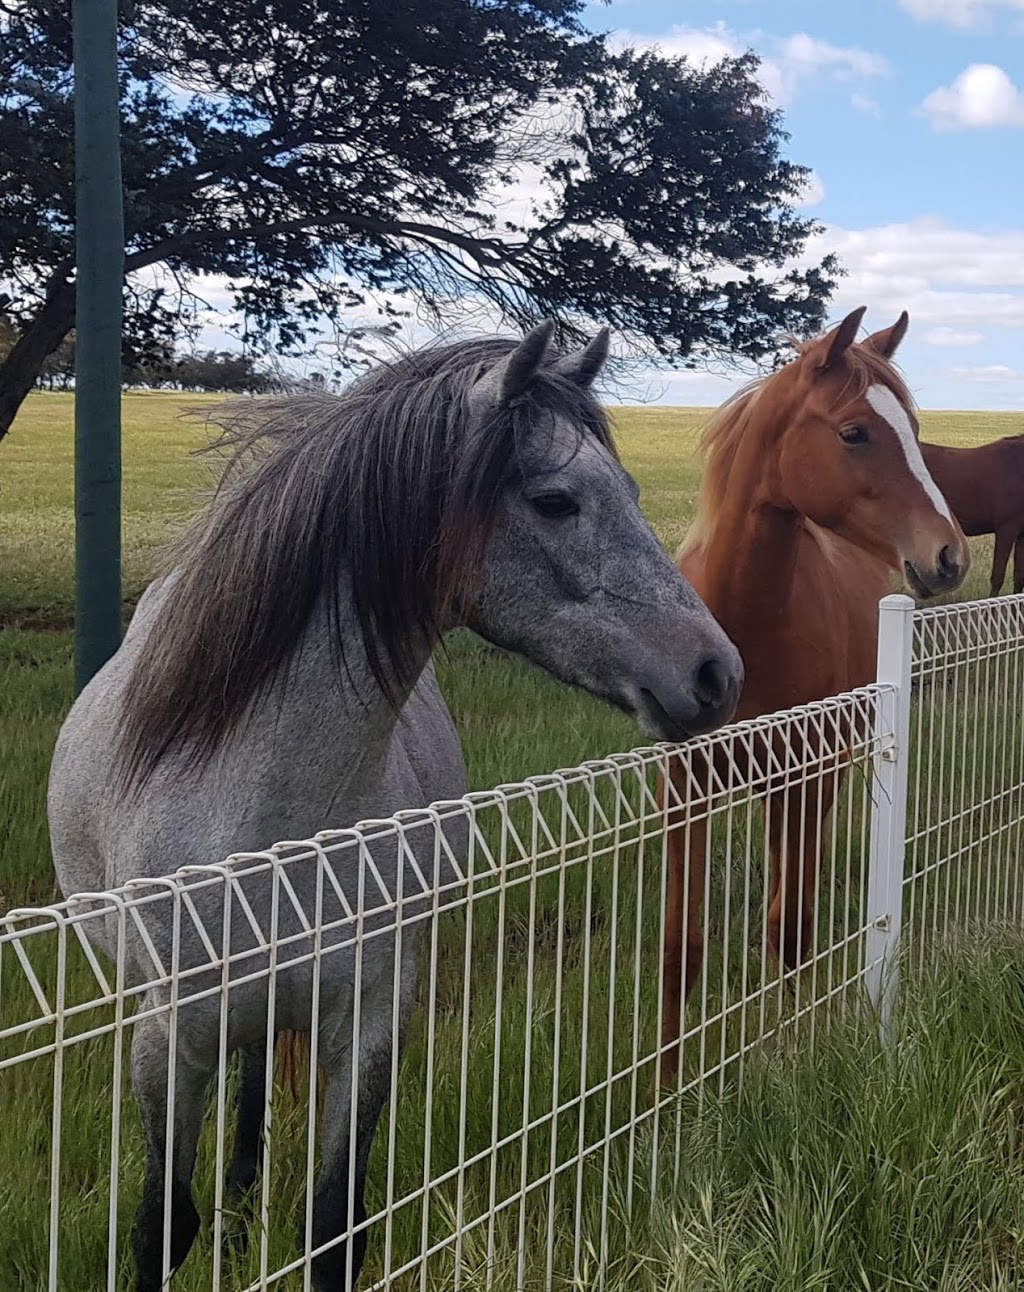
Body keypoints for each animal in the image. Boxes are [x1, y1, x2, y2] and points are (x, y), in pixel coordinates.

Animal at [47, 317, 738, 1286]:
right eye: (556, 500)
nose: (716, 674)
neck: (262, 822)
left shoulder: (371, 1023)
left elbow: (336, 1225)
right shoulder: (168, 1041)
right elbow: (157, 1230)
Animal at [655, 307, 965, 1085]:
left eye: (914, 429)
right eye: (855, 431)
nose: (949, 555)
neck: (742, 629)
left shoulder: (808, 771)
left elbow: (789, 926)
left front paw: (787, 1053)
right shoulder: (682, 788)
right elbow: (681, 948)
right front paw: (665, 1095)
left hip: (814, 779)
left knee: (791, 909)